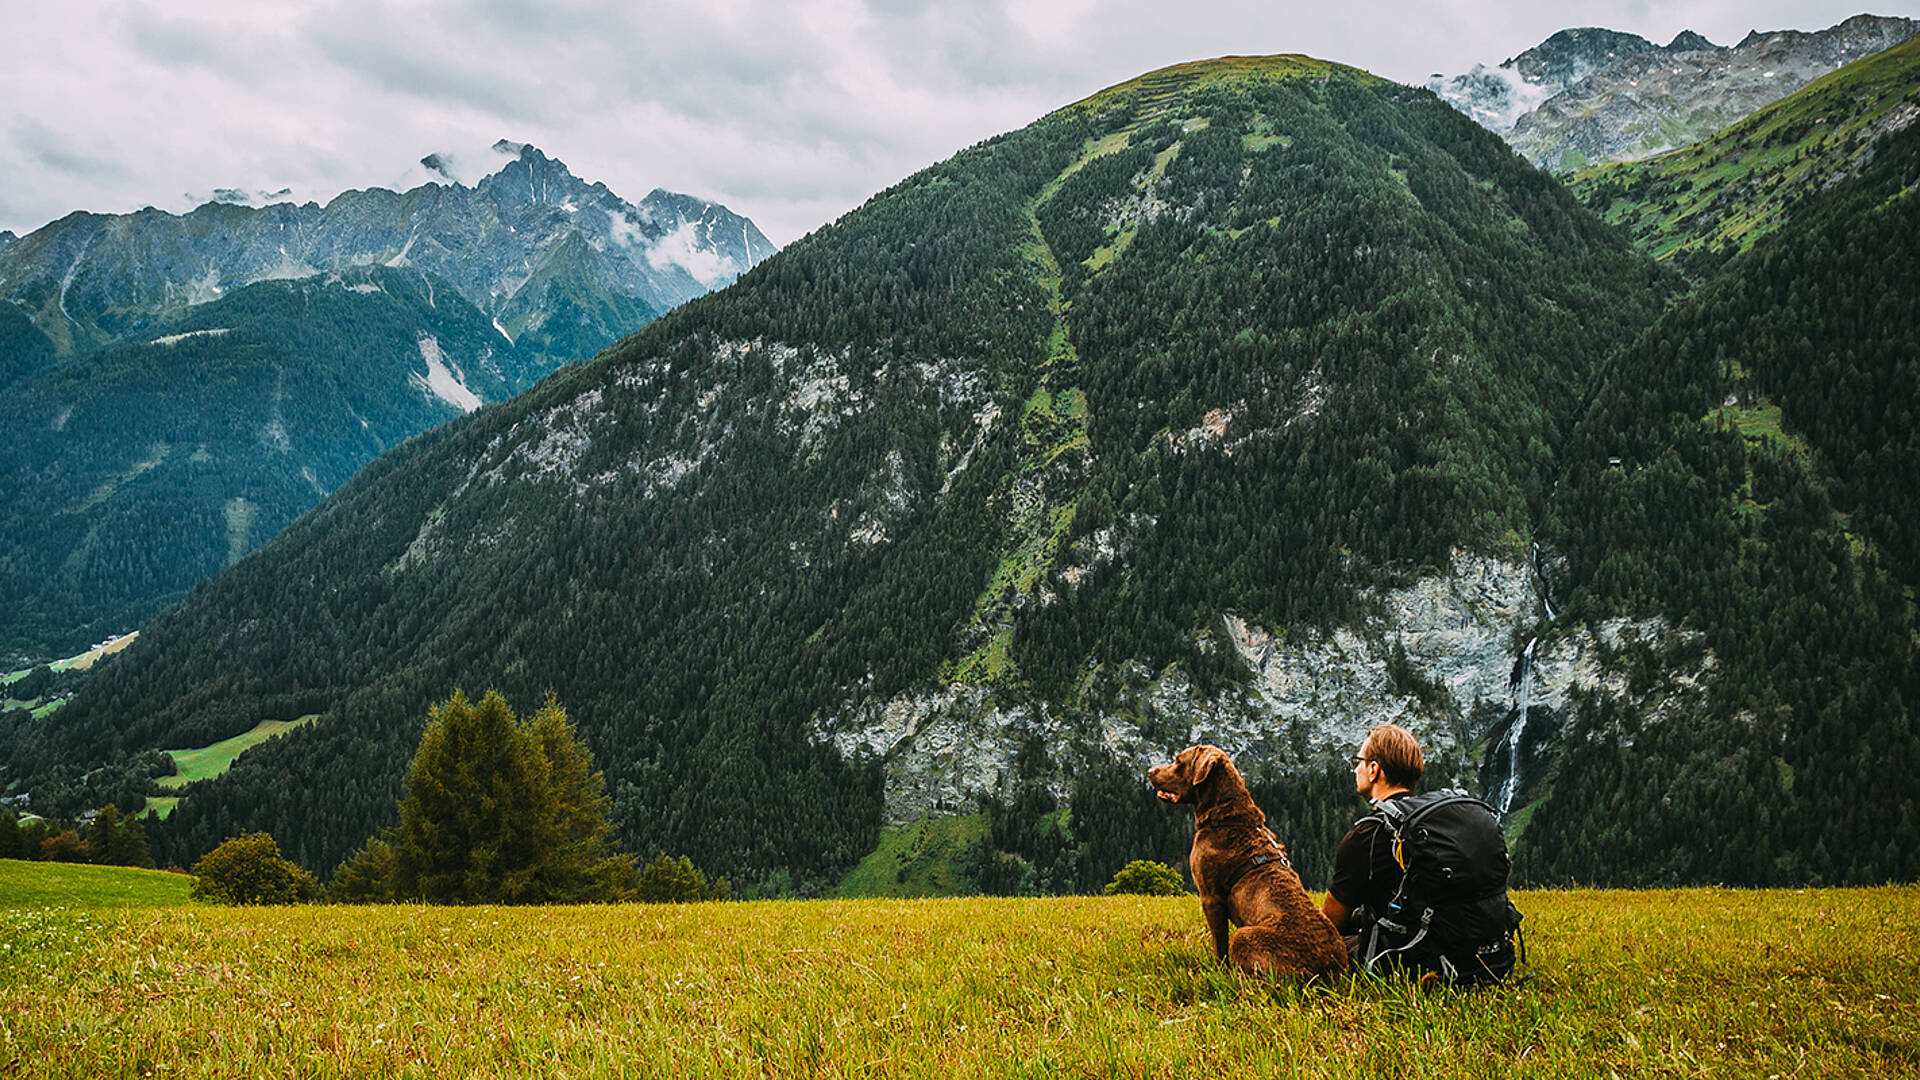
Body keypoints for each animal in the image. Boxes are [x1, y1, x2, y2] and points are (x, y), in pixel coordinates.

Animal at [1136, 737, 1351, 976]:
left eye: (1178, 760)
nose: (1150, 771)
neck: (1225, 817)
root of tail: (1329, 971)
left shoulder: (1210, 896)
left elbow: (1219, 942)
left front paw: (1217, 971)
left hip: (1245, 935)